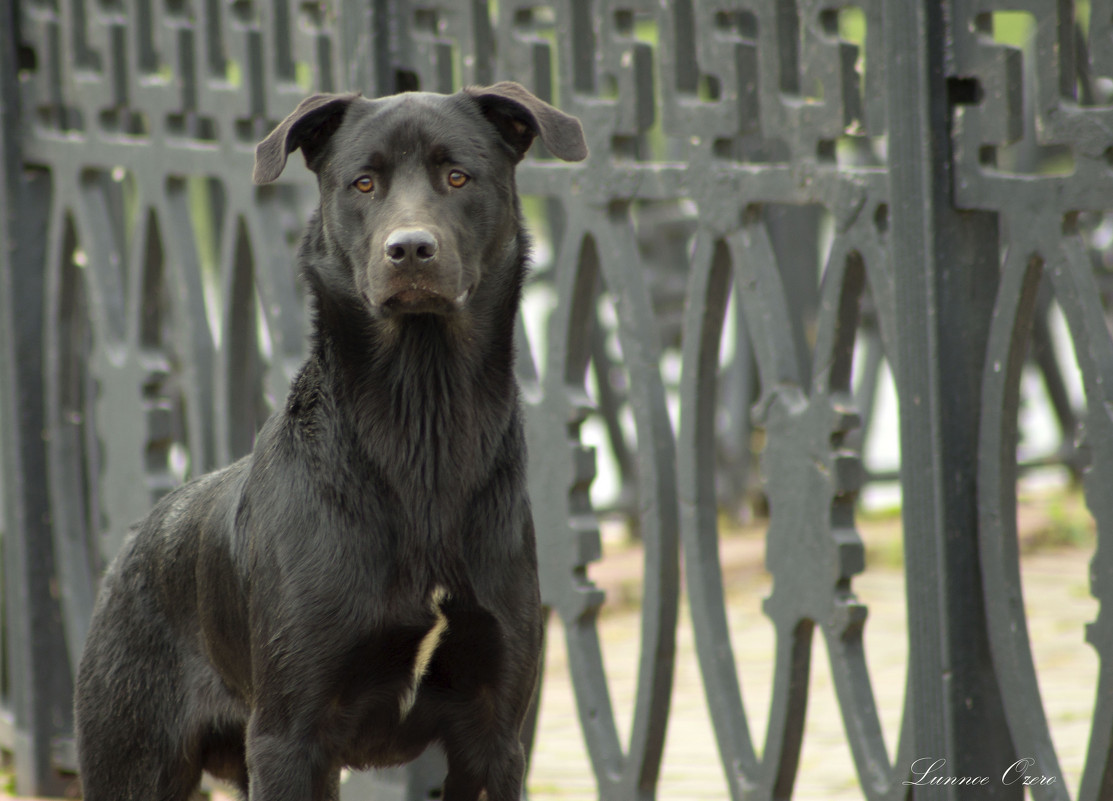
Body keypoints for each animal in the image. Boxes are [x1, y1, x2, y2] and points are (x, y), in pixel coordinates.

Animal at [74, 82, 587, 800]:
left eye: (458, 176)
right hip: (134, 761)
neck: (419, 422)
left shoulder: (493, 734)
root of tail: (131, 545)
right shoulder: (290, 736)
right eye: (363, 183)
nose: (410, 249)